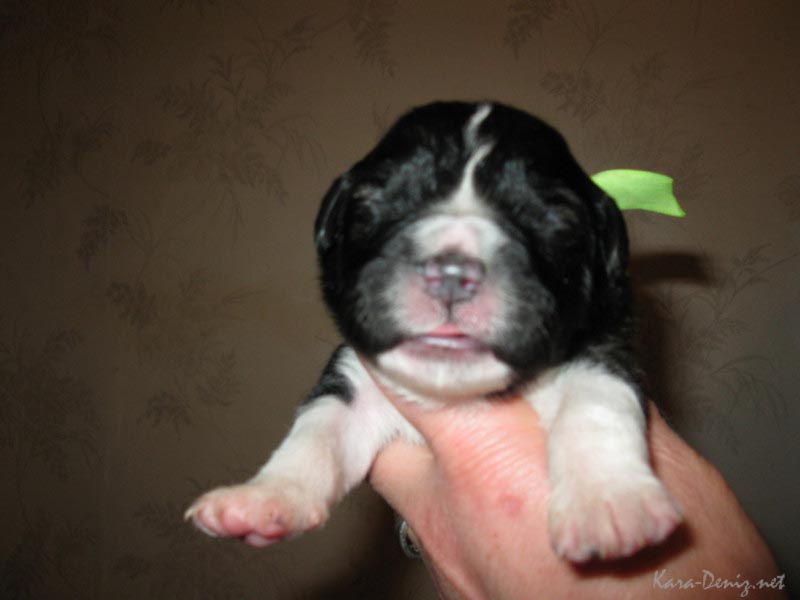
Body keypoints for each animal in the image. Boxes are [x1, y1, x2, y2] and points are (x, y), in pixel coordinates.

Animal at [185, 100, 682, 562]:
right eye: (376, 201)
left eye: (553, 218)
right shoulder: (355, 382)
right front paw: (263, 498)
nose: (452, 272)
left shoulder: (604, 350)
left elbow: (597, 406)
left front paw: (610, 501)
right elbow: (317, 432)